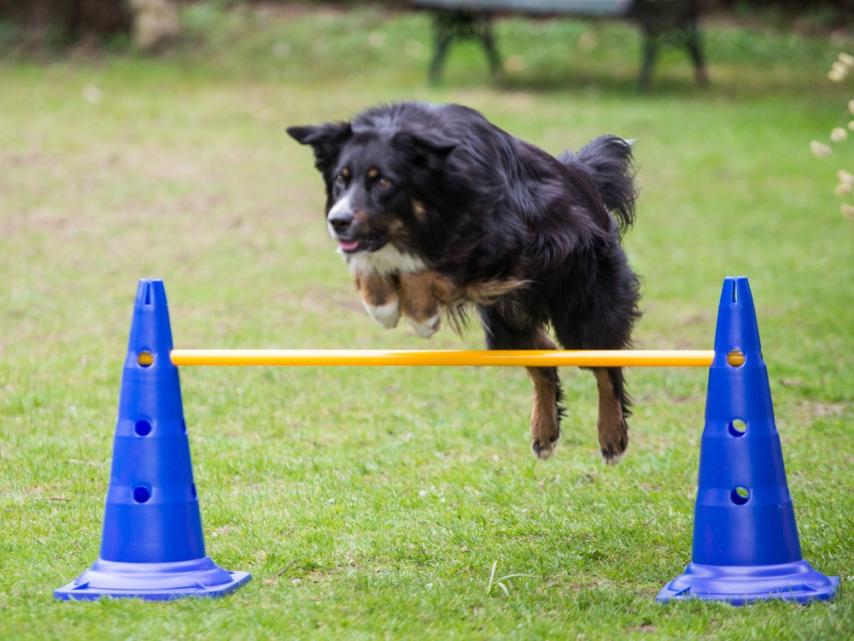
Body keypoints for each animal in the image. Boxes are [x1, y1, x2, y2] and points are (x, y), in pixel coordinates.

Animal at [290, 101, 640, 460]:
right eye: (340, 180)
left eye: (384, 181)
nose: (338, 221)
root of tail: (584, 176)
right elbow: (372, 265)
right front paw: (382, 304)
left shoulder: (503, 245)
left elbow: (433, 271)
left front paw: (421, 315)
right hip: (505, 323)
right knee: (544, 357)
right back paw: (545, 432)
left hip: (581, 308)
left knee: (605, 364)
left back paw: (612, 436)